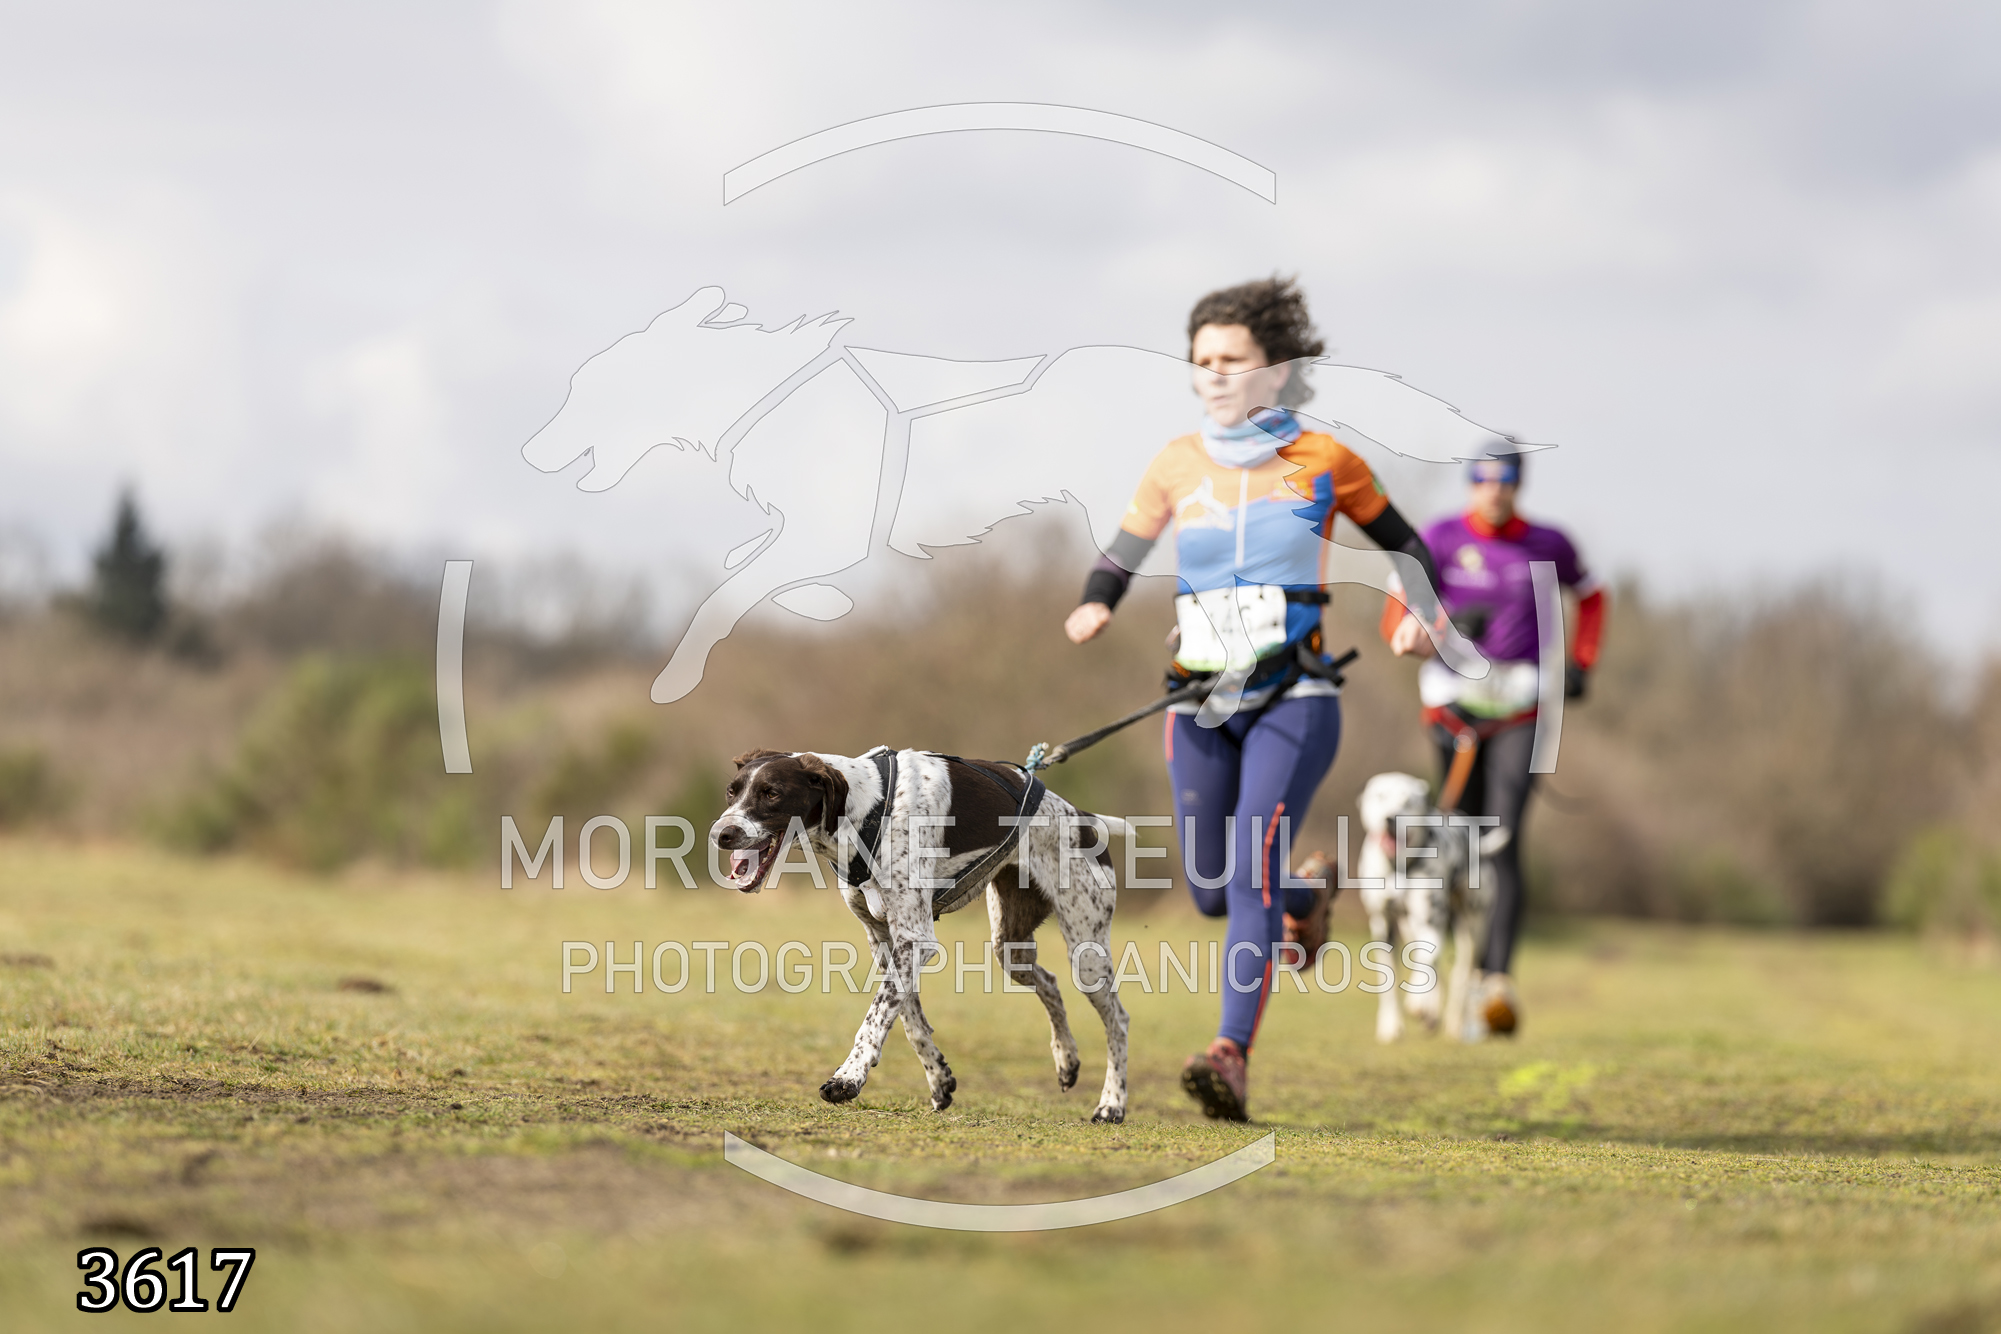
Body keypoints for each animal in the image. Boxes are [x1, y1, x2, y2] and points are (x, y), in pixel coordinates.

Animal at [709, 746, 1130, 1123]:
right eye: (731, 791)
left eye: (772, 793)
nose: (720, 834)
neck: (868, 809)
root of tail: (1084, 819)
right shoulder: (884, 940)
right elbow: (908, 1019)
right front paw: (938, 1077)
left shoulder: (915, 939)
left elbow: (876, 1016)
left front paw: (848, 1077)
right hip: (1010, 948)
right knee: (1051, 983)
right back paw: (1067, 1059)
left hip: (1087, 954)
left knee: (1118, 1021)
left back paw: (1112, 1104)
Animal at [1353, 771, 1509, 1044]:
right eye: (1379, 796)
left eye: (1408, 801)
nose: (1390, 818)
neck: (1399, 867)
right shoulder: (1382, 925)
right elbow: (1389, 981)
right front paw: (1390, 1026)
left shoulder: (1431, 921)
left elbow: (1428, 962)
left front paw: (1419, 1004)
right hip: (1409, 926)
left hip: (1473, 927)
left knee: (1462, 974)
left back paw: (1456, 1023)